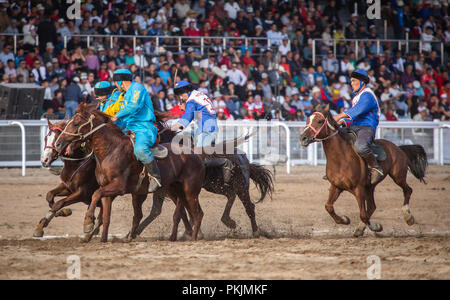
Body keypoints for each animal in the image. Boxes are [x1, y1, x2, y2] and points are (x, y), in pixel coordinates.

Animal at [54, 104, 206, 243]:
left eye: (75, 123)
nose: (58, 144)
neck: (111, 151)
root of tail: (196, 155)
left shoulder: (118, 187)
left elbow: (95, 195)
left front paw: (88, 223)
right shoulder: (107, 190)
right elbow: (105, 216)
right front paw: (102, 238)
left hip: (189, 191)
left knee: (197, 214)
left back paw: (193, 238)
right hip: (177, 191)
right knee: (185, 212)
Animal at [300, 106, 428, 236]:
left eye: (320, 121)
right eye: (307, 120)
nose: (303, 138)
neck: (341, 158)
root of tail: (398, 148)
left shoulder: (359, 188)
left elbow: (363, 215)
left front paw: (376, 227)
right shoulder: (336, 186)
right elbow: (328, 207)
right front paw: (344, 219)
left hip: (398, 176)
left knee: (408, 190)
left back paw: (408, 217)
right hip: (370, 187)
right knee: (372, 206)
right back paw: (360, 229)